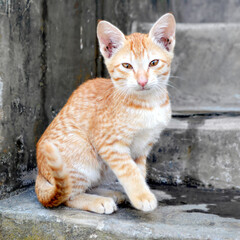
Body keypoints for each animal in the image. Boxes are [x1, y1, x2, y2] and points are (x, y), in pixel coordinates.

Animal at [34, 13, 175, 214]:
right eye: (127, 66)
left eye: (153, 63)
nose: (142, 81)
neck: (148, 103)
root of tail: (40, 174)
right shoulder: (110, 144)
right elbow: (129, 171)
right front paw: (142, 196)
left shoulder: (143, 146)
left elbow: (138, 171)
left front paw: (138, 196)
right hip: (82, 152)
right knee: (68, 195)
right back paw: (98, 201)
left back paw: (110, 194)